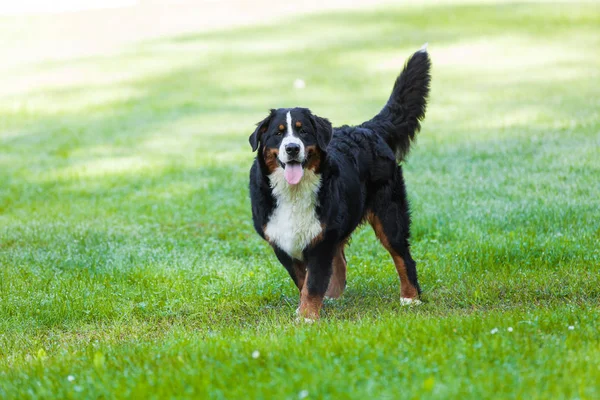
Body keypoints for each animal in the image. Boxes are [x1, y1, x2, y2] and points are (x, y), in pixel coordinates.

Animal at [248, 46, 432, 322]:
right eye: (278, 133)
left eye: (303, 131)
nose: (292, 148)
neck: (293, 192)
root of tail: (365, 128)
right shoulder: (283, 241)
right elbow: (303, 280)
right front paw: (308, 309)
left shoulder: (321, 239)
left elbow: (313, 282)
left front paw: (307, 317)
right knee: (341, 263)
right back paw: (333, 297)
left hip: (389, 215)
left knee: (403, 257)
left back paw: (410, 297)